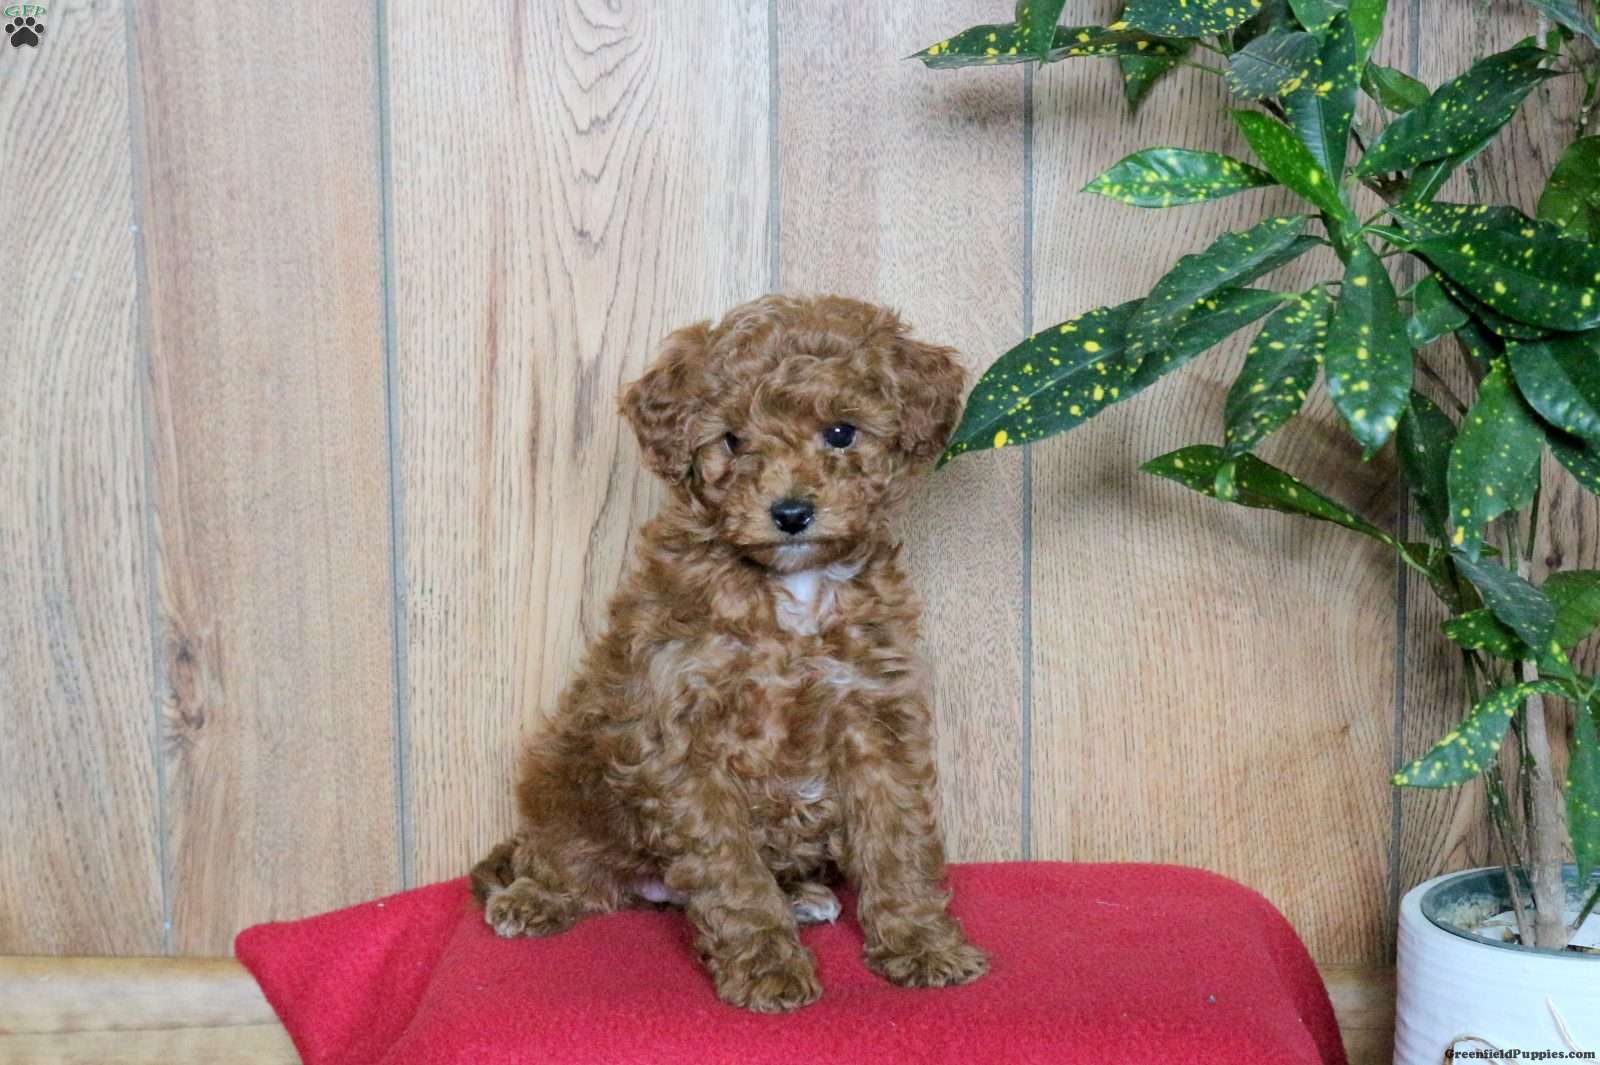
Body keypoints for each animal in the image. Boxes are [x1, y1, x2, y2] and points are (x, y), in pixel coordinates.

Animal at [470, 294, 986, 1013]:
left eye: (841, 433)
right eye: (733, 441)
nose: (791, 512)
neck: (791, 589)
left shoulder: (874, 716)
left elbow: (897, 841)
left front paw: (920, 942)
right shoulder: (683, 733)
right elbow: (732, 871)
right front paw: (767, 965)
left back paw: (802, 895)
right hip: (562, 775)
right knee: (562, 856)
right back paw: (536, 895)